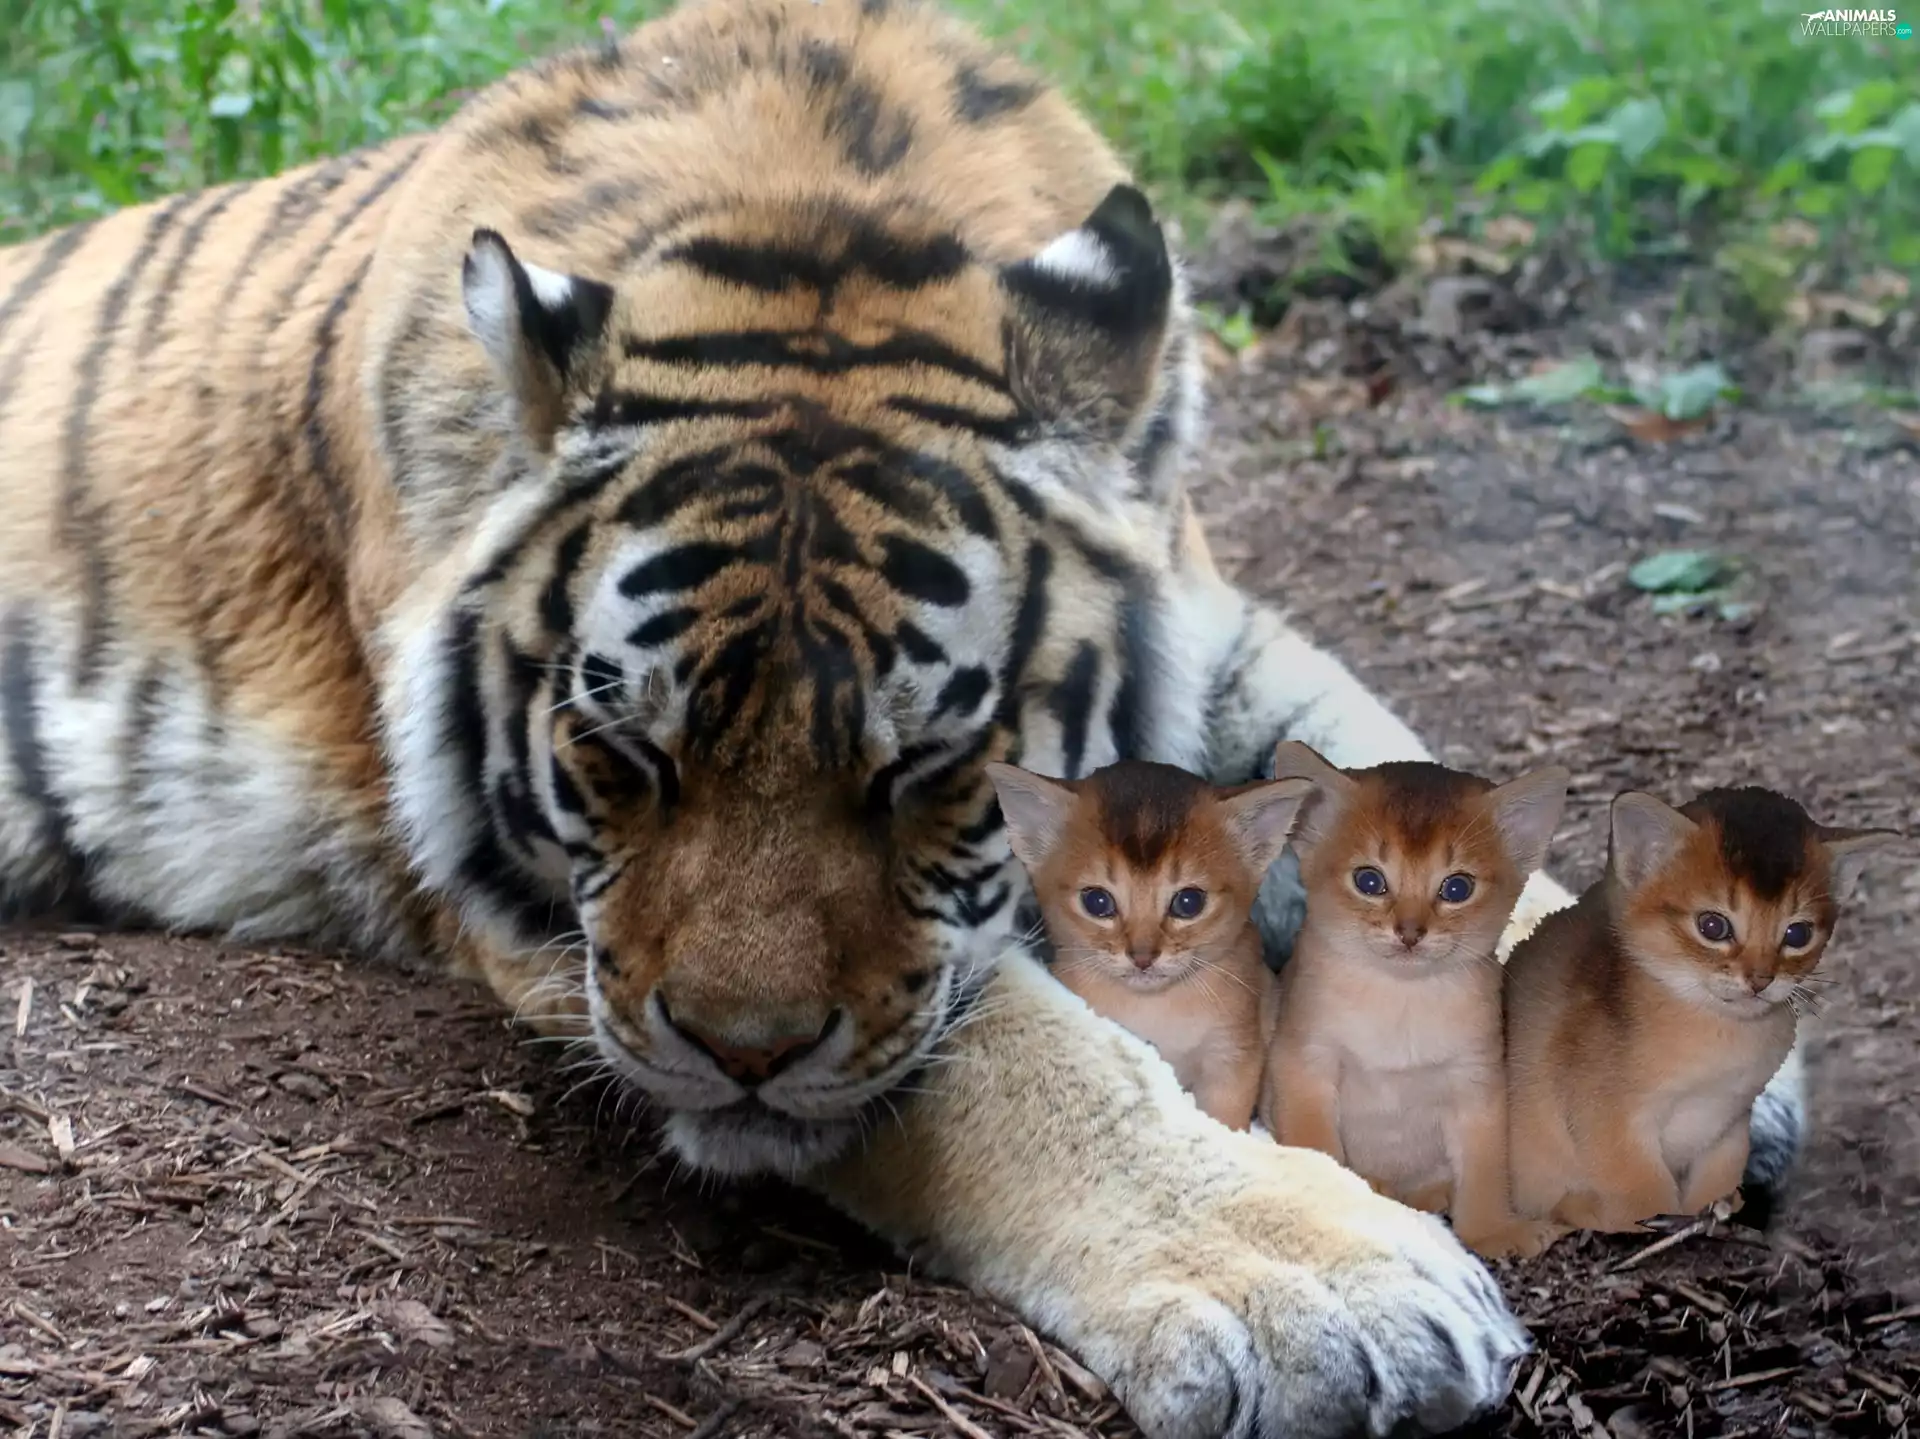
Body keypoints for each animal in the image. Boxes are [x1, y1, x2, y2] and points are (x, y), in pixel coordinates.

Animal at [0, 0, 1807, 1434]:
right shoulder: (551, 916)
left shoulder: (1215, 622)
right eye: (625, 749)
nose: (735, 1050)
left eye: (935, 763)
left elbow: (1363, 743)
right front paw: (1324, 1283)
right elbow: (1022, 1054)